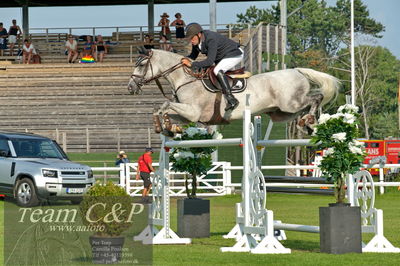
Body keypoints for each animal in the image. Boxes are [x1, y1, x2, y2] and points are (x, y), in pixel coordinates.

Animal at [126, 48, 340, 133]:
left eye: (142, 65)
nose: (130, 87)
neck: (186, 80)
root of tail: (297, 70)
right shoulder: (188, 115)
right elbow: (163, 108)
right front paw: (165, 126)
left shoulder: (193, 112)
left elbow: (166, 104)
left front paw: (164, 124)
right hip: (282, 112)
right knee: (303, 109)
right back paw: (307, 124)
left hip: (290, 103)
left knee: (316, 98)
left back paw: (310, 120)